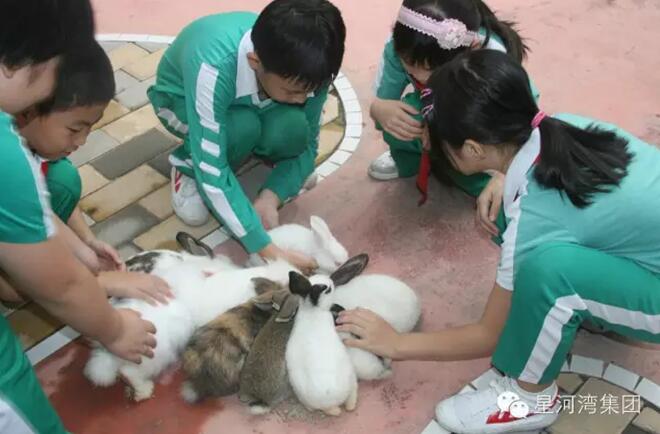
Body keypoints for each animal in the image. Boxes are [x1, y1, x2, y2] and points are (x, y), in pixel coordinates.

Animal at [284, 256, 369, 416]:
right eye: (328, 289)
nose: (331, 283)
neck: (313, 310)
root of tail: (329, 402)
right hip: (351, 377)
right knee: (351, 399)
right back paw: (348, 406)